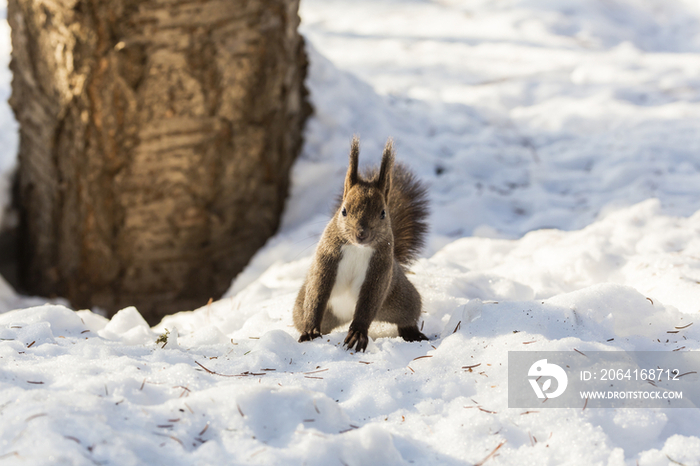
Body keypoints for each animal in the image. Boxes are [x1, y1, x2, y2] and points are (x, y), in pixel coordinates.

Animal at [292, 137, 430, 352]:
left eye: (383, 213)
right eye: (344, 211)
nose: (361, 234)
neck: (357, 248)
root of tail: (345, 315)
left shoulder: (380, 270)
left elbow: (368, 302)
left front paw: (357, 333)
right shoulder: (326, 258)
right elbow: (317, 291)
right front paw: (310, 329)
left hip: (400, 298)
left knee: (407, 315)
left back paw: (412, 333)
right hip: (309, 308)